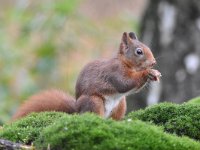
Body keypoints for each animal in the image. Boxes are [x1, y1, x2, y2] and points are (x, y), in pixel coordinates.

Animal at [11, 31, 161, 120]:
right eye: (139, 51)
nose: (154, 62)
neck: (125, 62)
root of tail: (76, 109)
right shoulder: (114, 72)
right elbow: (125, 83)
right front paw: (147, 72)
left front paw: (154, 74)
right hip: (94, 102)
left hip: (121, 105)